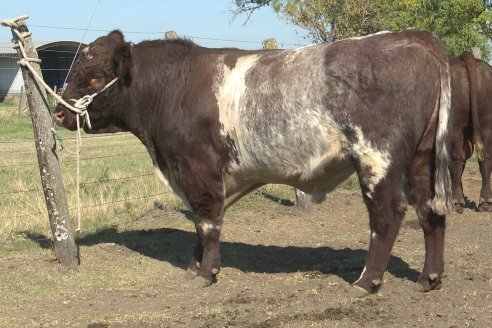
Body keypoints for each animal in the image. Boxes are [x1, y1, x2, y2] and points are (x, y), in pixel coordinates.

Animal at [54, 28, 454, 294]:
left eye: (94, 77)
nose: (58, 113)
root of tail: (409, 38)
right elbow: (200, 220)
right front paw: (194, 266)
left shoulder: (199, 167)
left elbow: (208, 221)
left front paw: (207, 272)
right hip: (423, 158)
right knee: (429, 210)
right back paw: (429, 278)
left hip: (376, 158)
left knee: (387, 214)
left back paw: (367, 281)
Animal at [450, 52, 492, 213]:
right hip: (487, 122)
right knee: (486, 158)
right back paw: (485, 202)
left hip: (454, 125)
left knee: (455, 158)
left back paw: (456, 202)